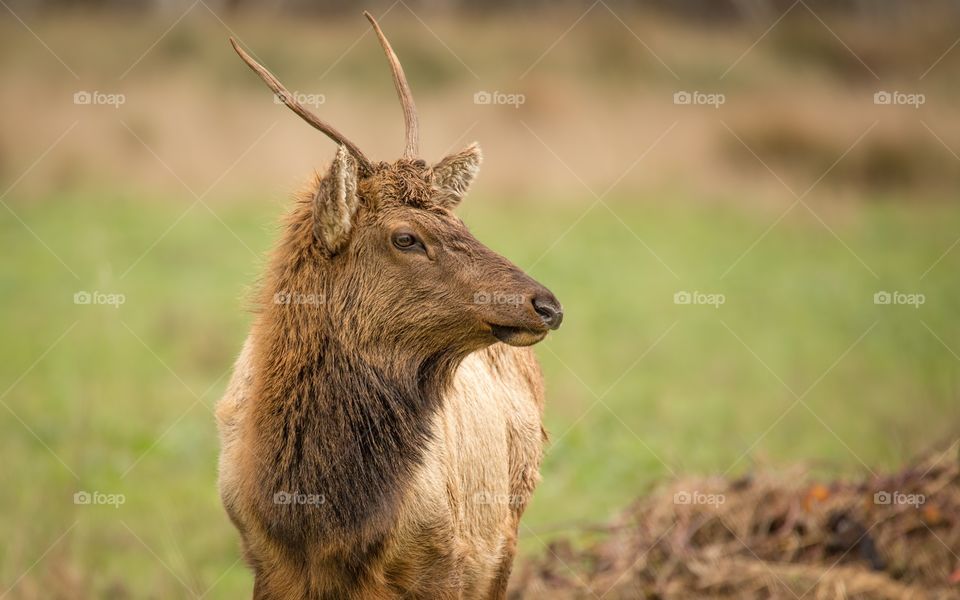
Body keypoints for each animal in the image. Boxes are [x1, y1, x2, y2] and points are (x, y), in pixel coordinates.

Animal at [218, 11, 564, 596]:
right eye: (406, 238)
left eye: (460, 222)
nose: (546, 304)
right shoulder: (264, 561)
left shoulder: (446, 560)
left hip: (506, 536)